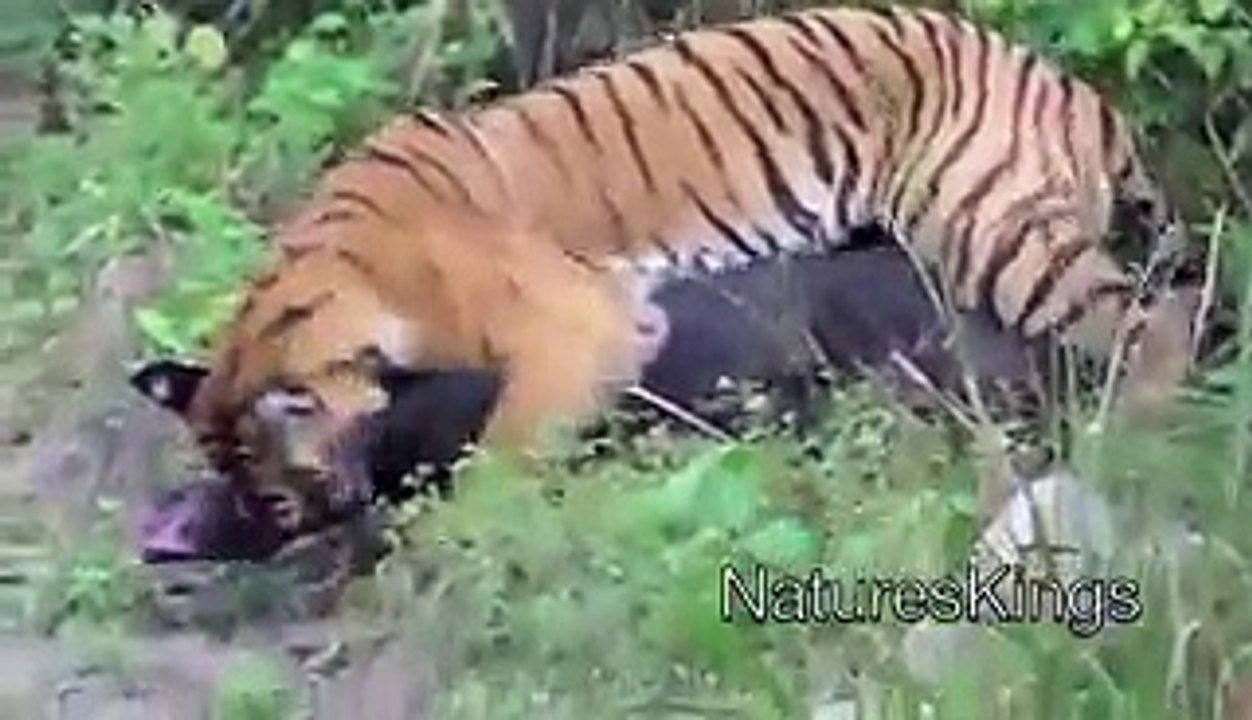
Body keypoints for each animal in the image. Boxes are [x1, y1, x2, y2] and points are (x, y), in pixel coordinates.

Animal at [132, 5, 1201, 529]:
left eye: (277, 492)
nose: (294, 529)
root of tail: (1061, 82)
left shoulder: (580, 329)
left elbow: (497, 456)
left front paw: (452, 543)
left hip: (989, 227)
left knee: (1157, 323)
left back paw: (1137, 438)